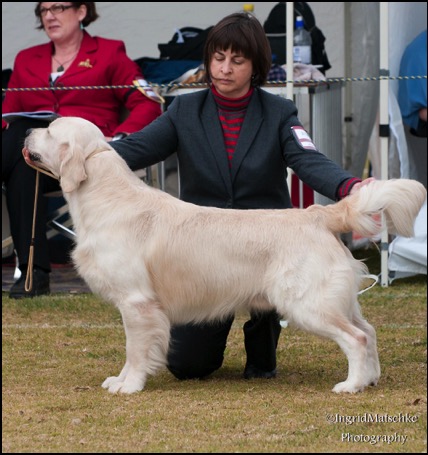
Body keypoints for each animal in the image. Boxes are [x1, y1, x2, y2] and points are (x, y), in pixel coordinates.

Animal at [24, 117, 428, 396]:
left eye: (50, 130)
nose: (26, 130)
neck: (105, 195)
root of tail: (317, 214)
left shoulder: (137, 302)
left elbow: (135, 350)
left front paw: (131, 385)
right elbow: (130, 351)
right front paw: (119, 380)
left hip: (307, 302)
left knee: (356, 338)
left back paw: (351, 385)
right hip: (336, 299)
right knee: (369, 331)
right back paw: (370, 379)